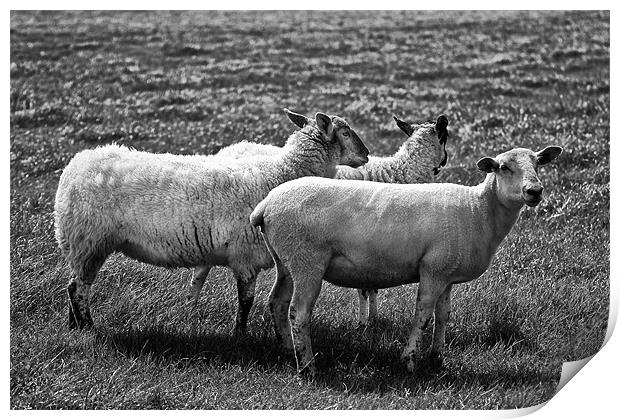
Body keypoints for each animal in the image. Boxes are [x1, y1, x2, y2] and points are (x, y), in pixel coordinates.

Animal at [54, 110, 368, 332]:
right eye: (345, 131)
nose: (366, 155)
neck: (281, 173)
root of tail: (75, 166)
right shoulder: (245, 254)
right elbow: (246, 301)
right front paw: (240, 335)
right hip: (89, 241)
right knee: (78, 288)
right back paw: (88, 328)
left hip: (82, 244)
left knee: (73, 287)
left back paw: (74, 327)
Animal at [218, 111, 450, 324]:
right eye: (445, 137)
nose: (445, 161)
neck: (397, 172)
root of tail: (237, 145)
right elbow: (366, 288)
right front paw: (365, 323)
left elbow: (370, 285)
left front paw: (371, 319)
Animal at [249, 145, 564, 374]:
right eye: (503, 167)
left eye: (538, 164)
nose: (534, 191)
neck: (478, 210)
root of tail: (265, 205)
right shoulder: (433, 270)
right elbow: (422, 315)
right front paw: (409, 361)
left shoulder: (447, 273)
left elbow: (443, 316)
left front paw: (437, 358)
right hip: (307, 260)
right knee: (298, 312)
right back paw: (308, 367)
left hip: (287, 260)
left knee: (277, 302)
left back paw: (287, 351)